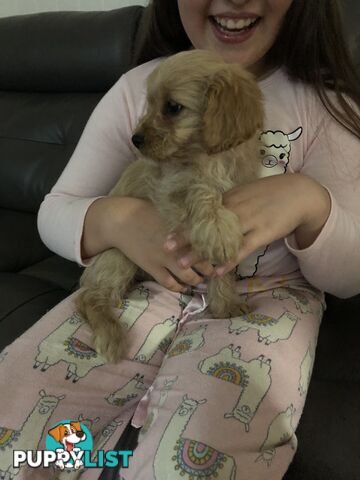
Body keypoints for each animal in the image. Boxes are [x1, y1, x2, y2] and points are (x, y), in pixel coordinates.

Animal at [76, 49, 262, 364]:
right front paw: (217, 228)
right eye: (149, 105)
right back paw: (110, 334)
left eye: (173, 107)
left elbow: (222, 269)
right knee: (88, 296)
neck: (207, 157)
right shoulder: (168, 190)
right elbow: (201, 191)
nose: (135, 139)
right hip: (118, 256)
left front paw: (225, 303)